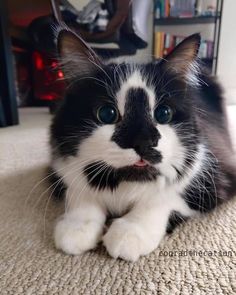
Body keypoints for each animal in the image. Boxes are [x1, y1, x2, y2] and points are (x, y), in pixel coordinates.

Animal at [49, 29, 236, 262]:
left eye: (163, 113)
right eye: (107, 114)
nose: (143, 142)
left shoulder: (216, 176)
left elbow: (162, 197)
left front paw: (131, 231)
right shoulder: (60, 168)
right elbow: (78, 190)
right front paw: (77, 226)